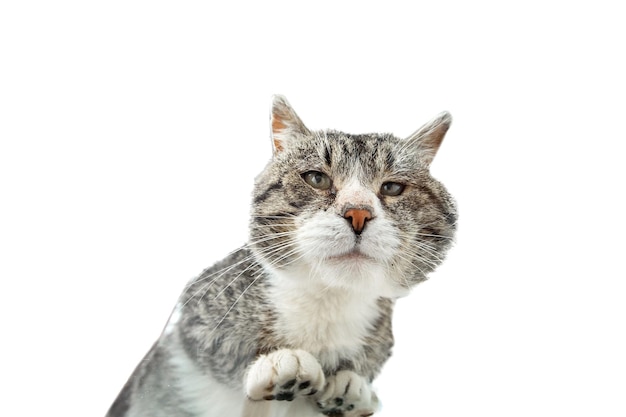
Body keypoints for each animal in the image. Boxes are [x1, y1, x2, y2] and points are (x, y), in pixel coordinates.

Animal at [106, 96, 458, 416]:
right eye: (317, 178)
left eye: (392, 188)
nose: (358, 213)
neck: (328, 303)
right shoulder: (193, 318)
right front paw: (277, 363)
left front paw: (352, 385)